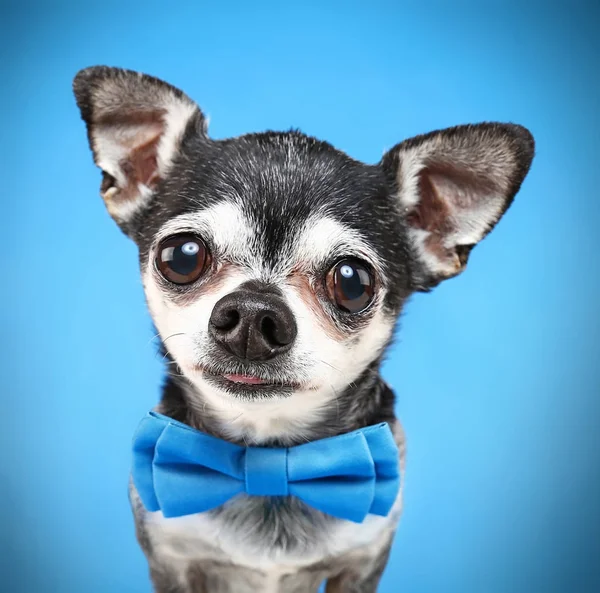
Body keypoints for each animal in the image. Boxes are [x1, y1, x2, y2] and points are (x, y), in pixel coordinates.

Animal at [74, 66, 536, 592]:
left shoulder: (361, 563)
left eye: (352, 281)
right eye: (184, 255)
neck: (269, 460)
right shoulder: (171, 562)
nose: (254, 314)